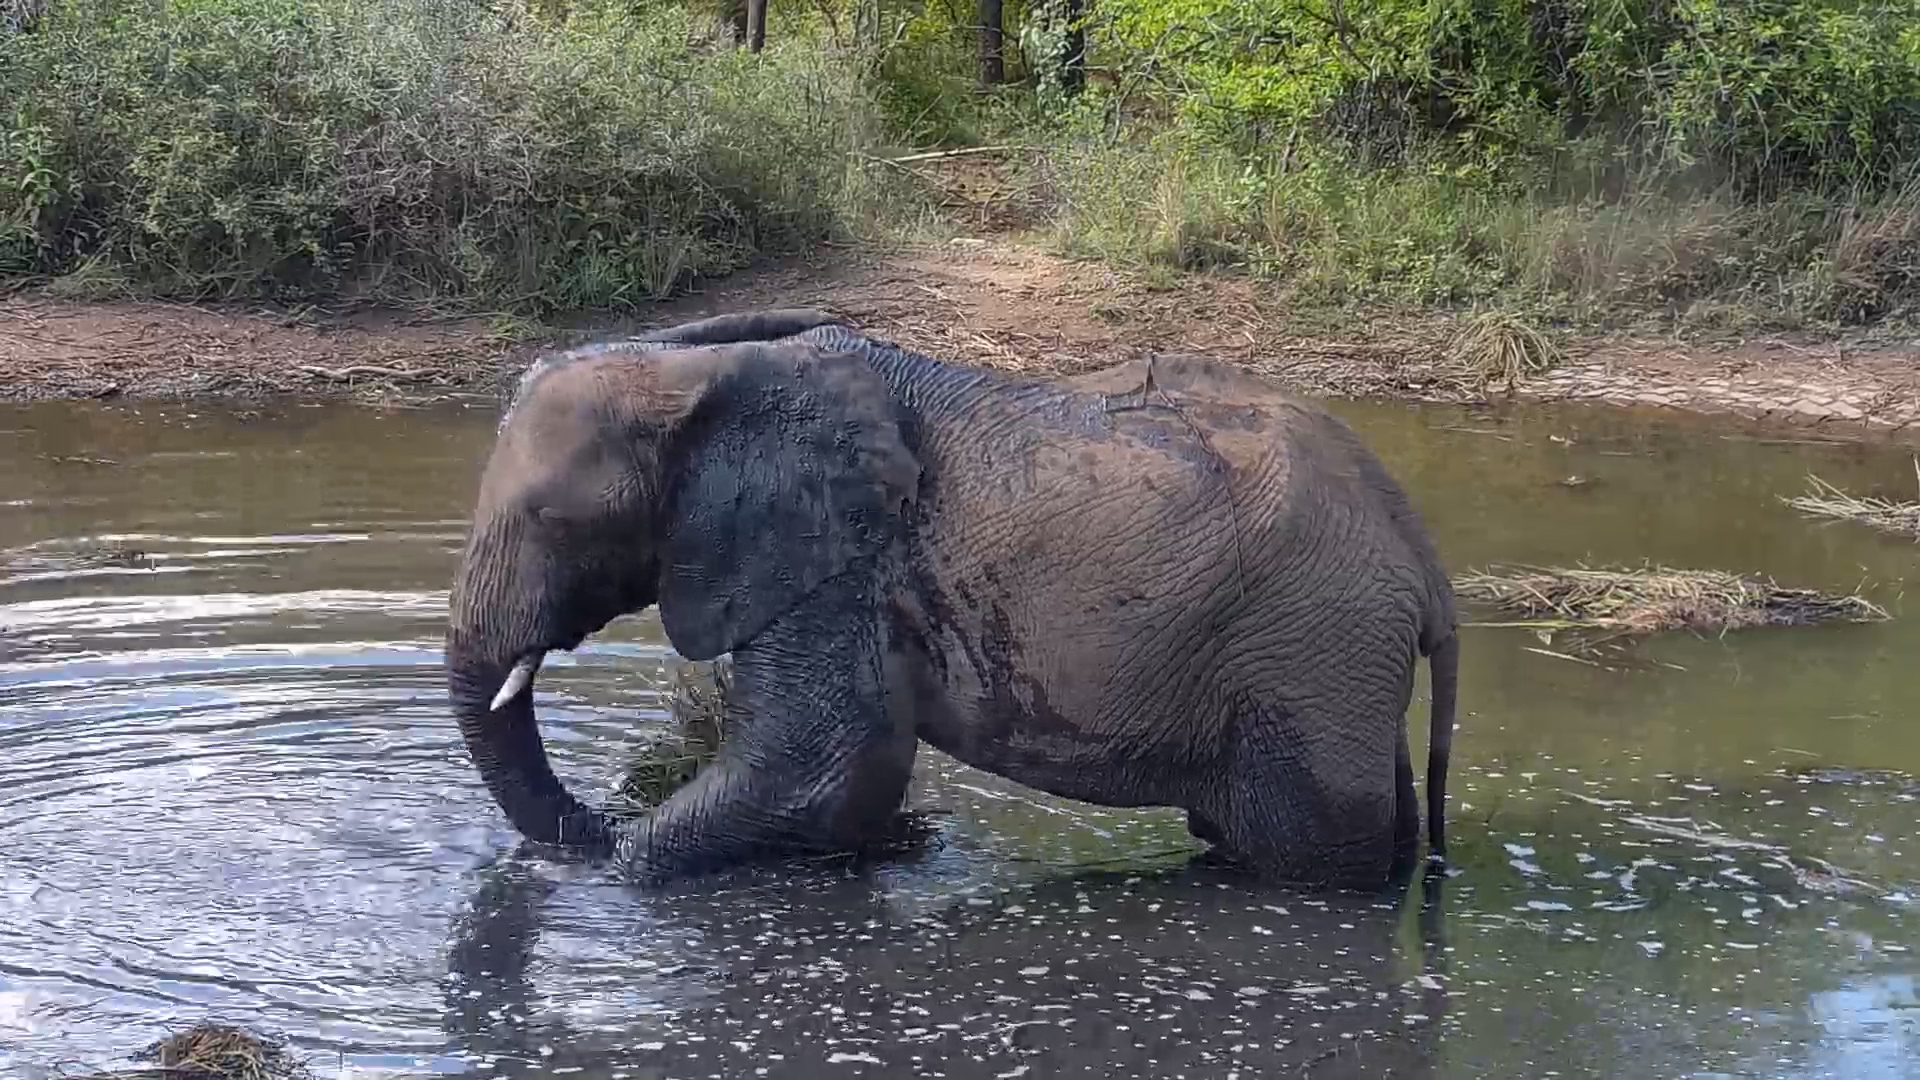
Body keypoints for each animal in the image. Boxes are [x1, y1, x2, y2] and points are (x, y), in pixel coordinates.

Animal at [444, 308, 1459, 890]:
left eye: (551, 519)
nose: (593, 817)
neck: (709, 373)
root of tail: (1425, 558)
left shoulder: (844, 567)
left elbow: (818, 769)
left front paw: (612, 865)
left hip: (1311, 655)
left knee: (1301, 855)